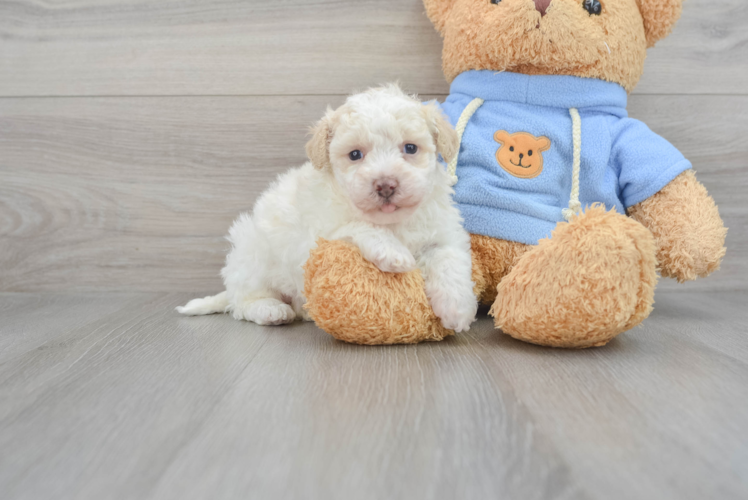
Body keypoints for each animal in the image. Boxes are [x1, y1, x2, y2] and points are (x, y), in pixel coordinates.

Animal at [178, 86, 476, 332]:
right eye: (355, 155)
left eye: (411, 148)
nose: (385, 185)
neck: (392, 222)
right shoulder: (318, 234)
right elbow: (359, 225)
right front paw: (393, 253)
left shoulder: (442, 232)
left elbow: (448, 259)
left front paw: (458, 309)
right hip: (252, 256)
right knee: (243, 302)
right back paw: (270, 310)